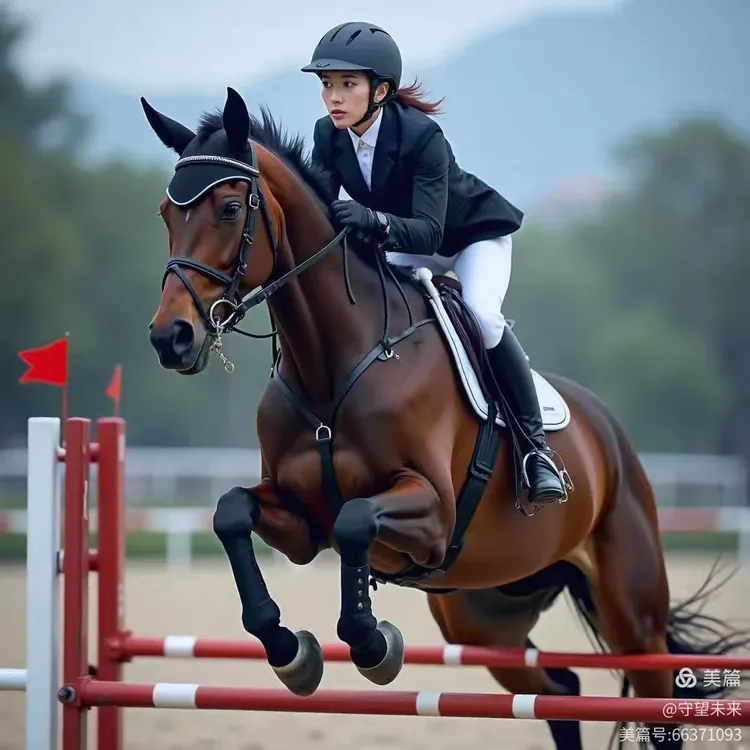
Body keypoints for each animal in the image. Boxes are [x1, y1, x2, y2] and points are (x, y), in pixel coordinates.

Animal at [142, 87, 748, 749]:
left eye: (229, 209)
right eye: (166, 216)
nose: (171, 339)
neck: (335, 363)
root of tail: (611, 434)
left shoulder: (431, 512)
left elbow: (355, 520)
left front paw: (374, 644)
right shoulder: (302, 523)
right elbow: (232, 513)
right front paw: (289, 650)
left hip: (631, 608)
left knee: (655, 698)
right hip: (480, 613)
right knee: (559, 689)